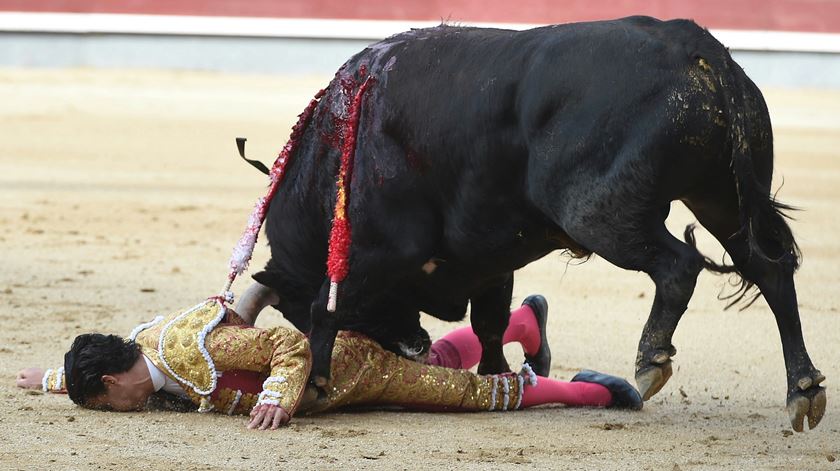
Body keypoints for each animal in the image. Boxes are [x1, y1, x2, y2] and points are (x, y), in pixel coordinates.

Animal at [251, 17, 828, 432]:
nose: (415, 346)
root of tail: (689, 40)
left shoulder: (377, 250)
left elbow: (327, 305)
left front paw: (317, 381)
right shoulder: (488, 258)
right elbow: (489, 323)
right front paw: (494, 377)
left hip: (599, 212)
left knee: (680, 265)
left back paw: (650, 360)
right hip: (721, 198)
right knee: (771, 271)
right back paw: (802, 389)